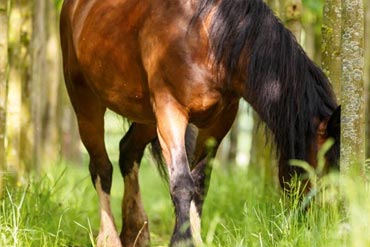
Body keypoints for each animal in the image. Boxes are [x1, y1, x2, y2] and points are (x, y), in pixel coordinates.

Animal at [59, 0, 340, 247]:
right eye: (323, 167)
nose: (324, 224)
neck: (206, 37)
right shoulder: (170, 112)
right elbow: (182, 183)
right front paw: (182, 240)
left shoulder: (218, 122)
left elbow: (200, 183)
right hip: (86, 103)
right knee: (101, 167)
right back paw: (108, 238)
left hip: (146, 116)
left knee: (128, 152)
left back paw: (136, 232)